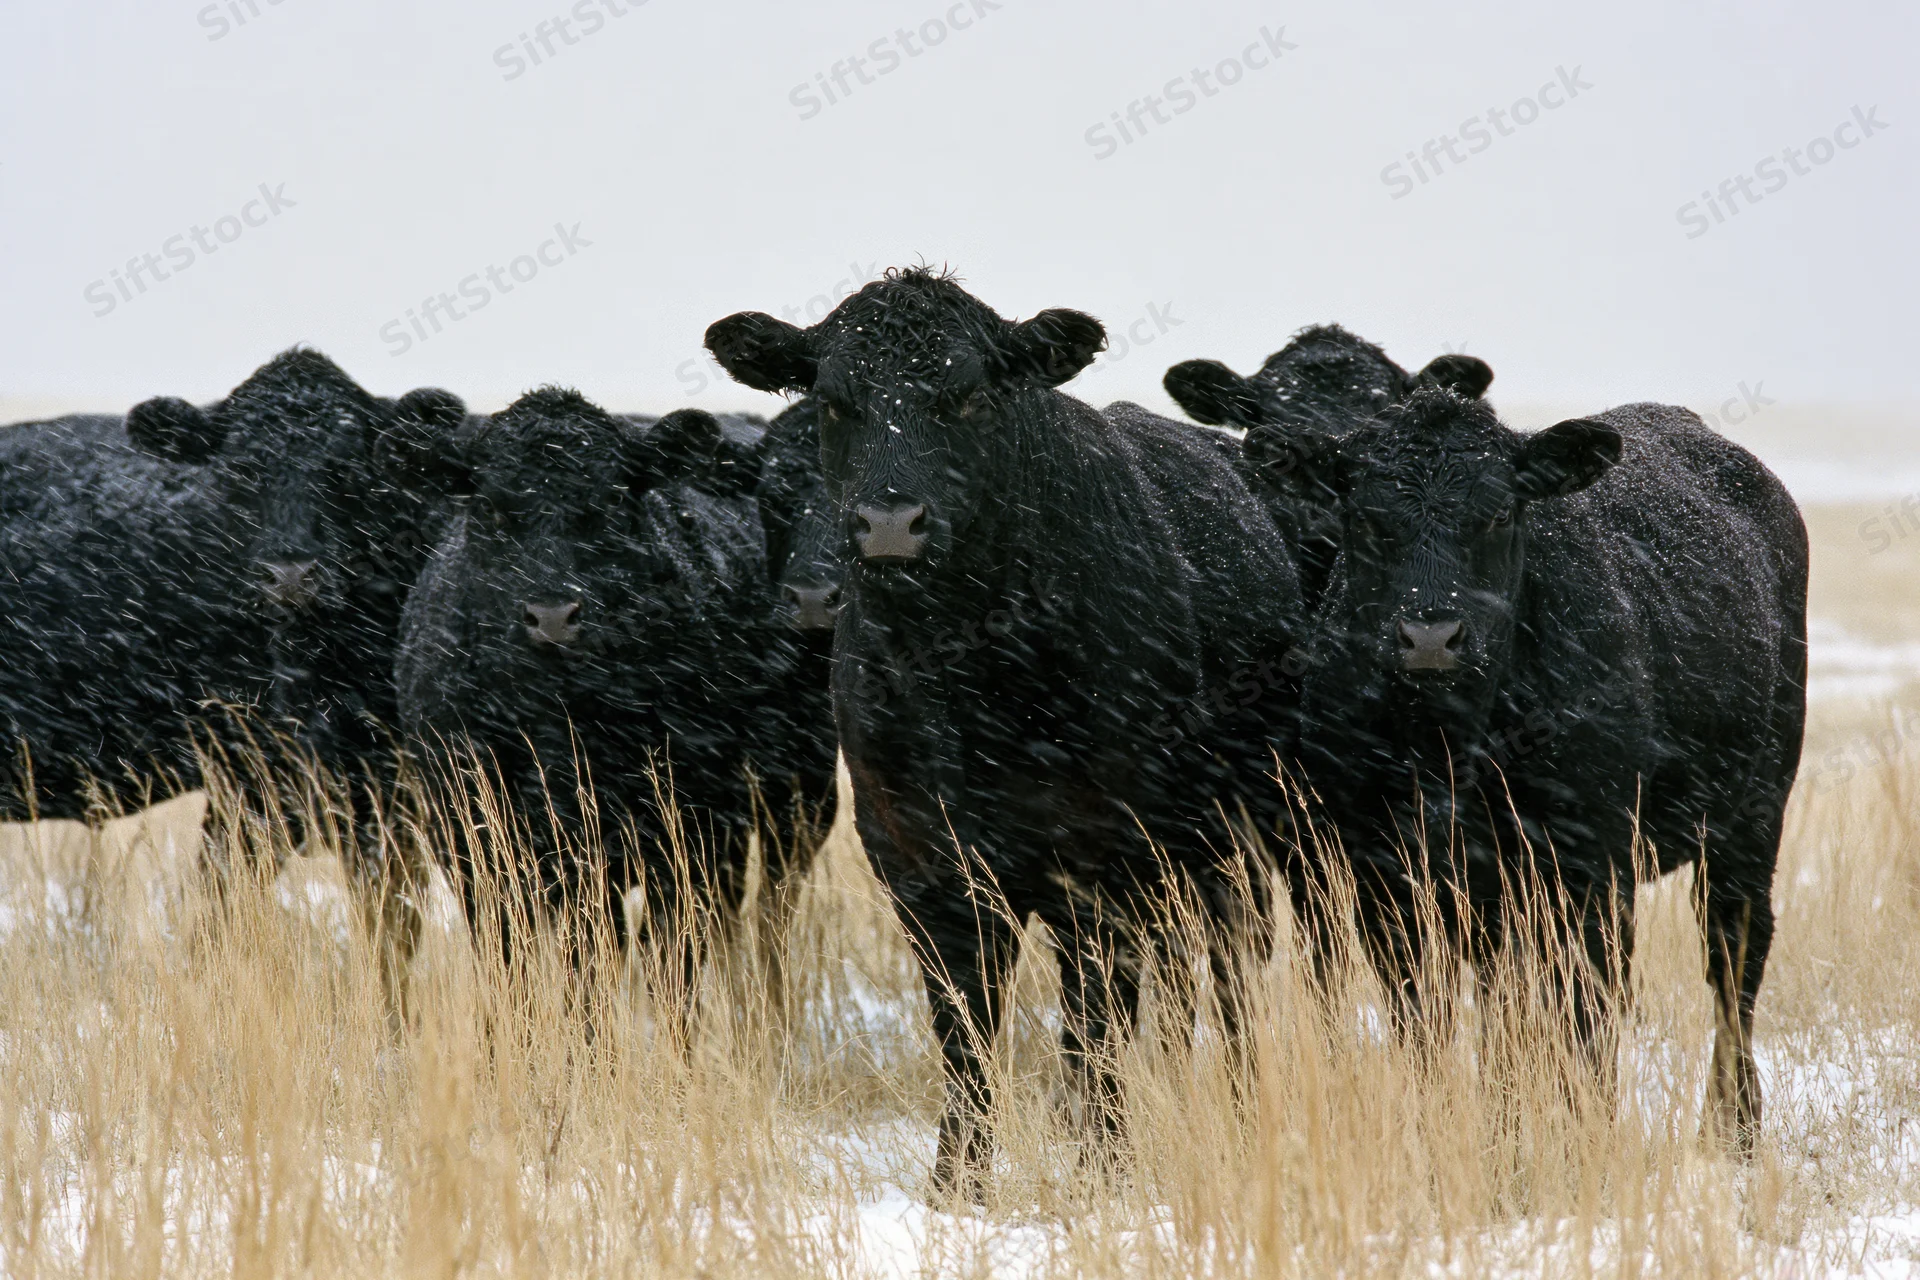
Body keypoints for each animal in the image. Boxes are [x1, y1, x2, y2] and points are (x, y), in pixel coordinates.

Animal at [391, 388, 837, 1026]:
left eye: (609, 504)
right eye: (492, 509)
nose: (552, 615)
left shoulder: (676, 838)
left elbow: (643, 975)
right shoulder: (474, 849)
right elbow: (513, 978)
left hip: (798, 797)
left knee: (765, 921)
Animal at [706, 267, 1309, 1197]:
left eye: (968, 395)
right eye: (836, 400)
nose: (889, 523)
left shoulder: (1102, 861)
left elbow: (1096, 1028)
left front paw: (1103, 1173)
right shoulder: (918, 859)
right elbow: (966, 1031)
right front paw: (956, 1187)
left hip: (1237, 839)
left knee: (1228, 970)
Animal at [1296, 390, 1806, 1154]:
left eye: (1500, 513)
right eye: (1364, 518)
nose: (1429, 637)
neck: (1453, 742)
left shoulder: (1592, 862)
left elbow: (1588, 1012)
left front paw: (1584, 1138)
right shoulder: (1384, 872)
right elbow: (1425, 1016)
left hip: (1752, 816)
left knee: (1733, 956)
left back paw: (1733, 1128)